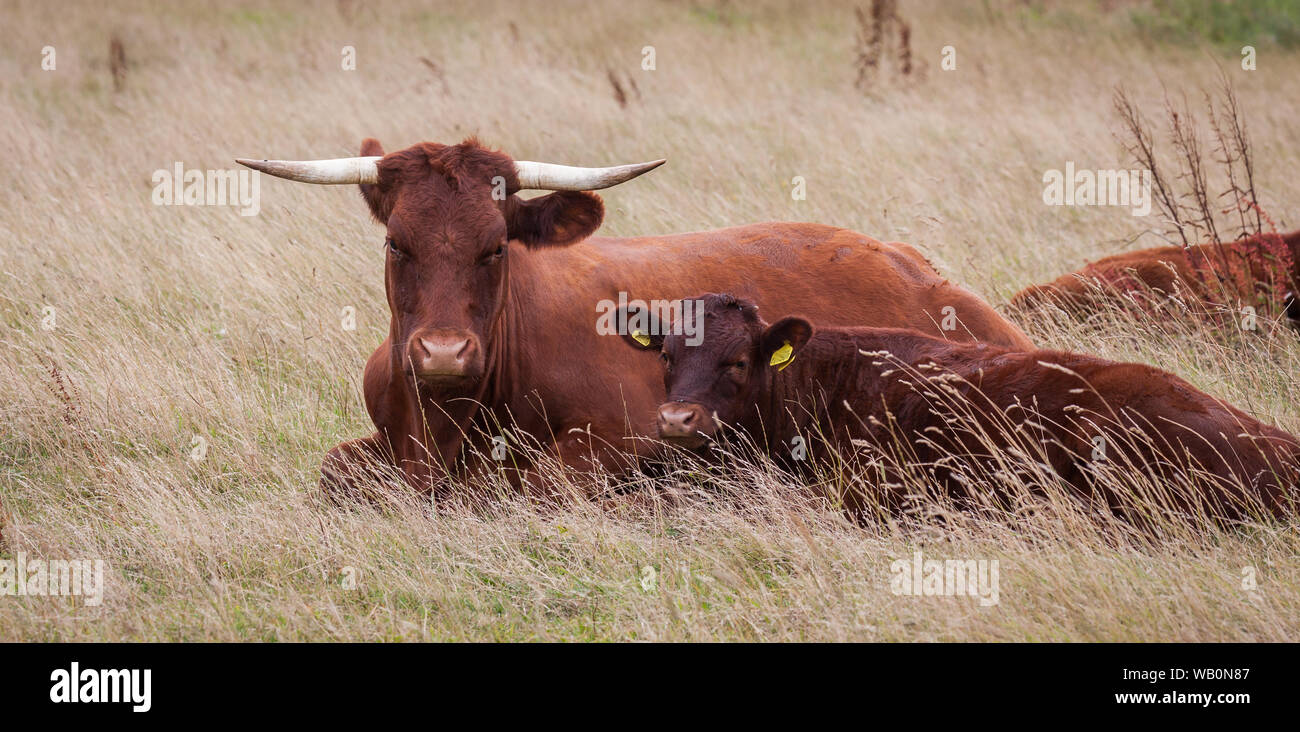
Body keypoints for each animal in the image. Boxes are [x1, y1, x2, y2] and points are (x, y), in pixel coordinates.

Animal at [236, 138, 1036, 502]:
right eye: (395, 242)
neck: (447, 423)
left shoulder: (619, 439)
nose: (440, 352)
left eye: (495, 246)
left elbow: (538, 489)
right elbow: (335, 468)